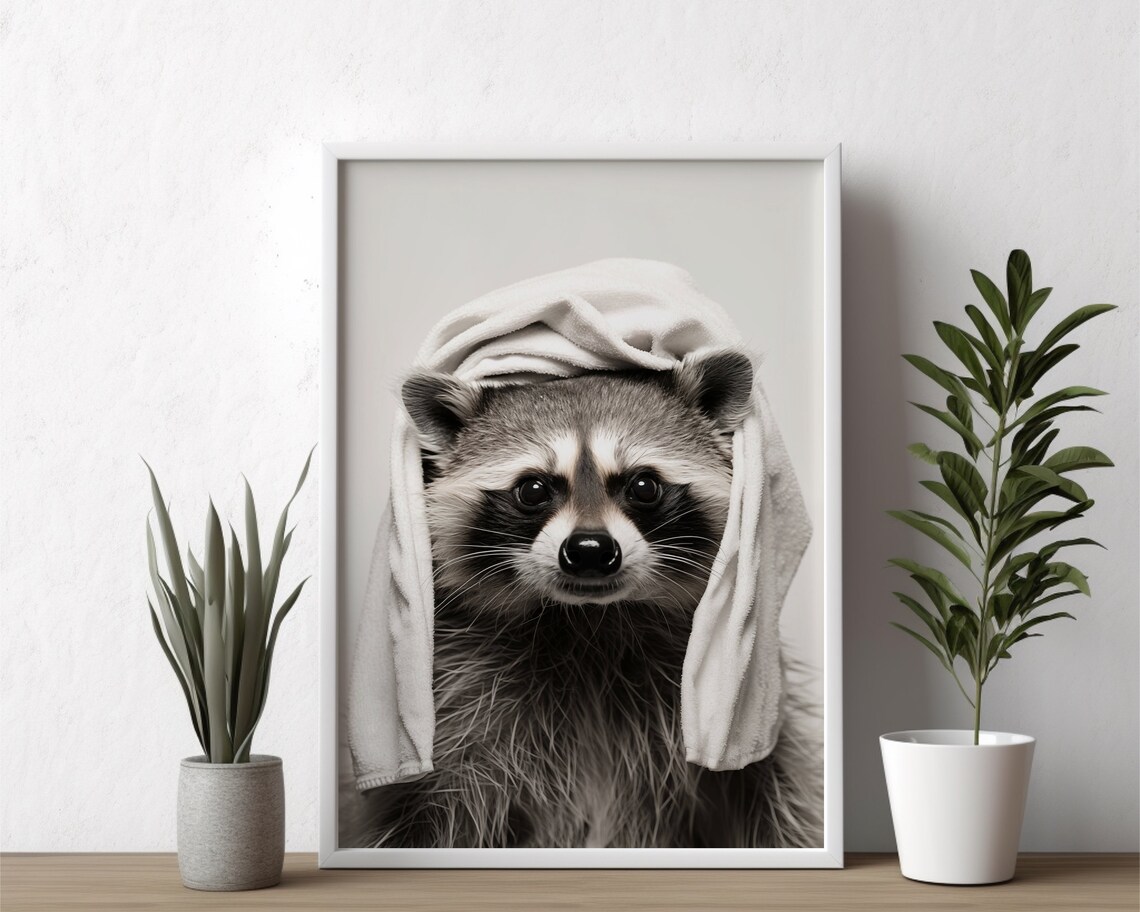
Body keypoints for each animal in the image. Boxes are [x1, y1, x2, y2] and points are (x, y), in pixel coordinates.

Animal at [360, 349, 821, 849]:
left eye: (644, 486)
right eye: (533, 489)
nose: (590, 550)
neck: (591, 618)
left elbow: (774, 802)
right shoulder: (459, 701)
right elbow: (422, 816)